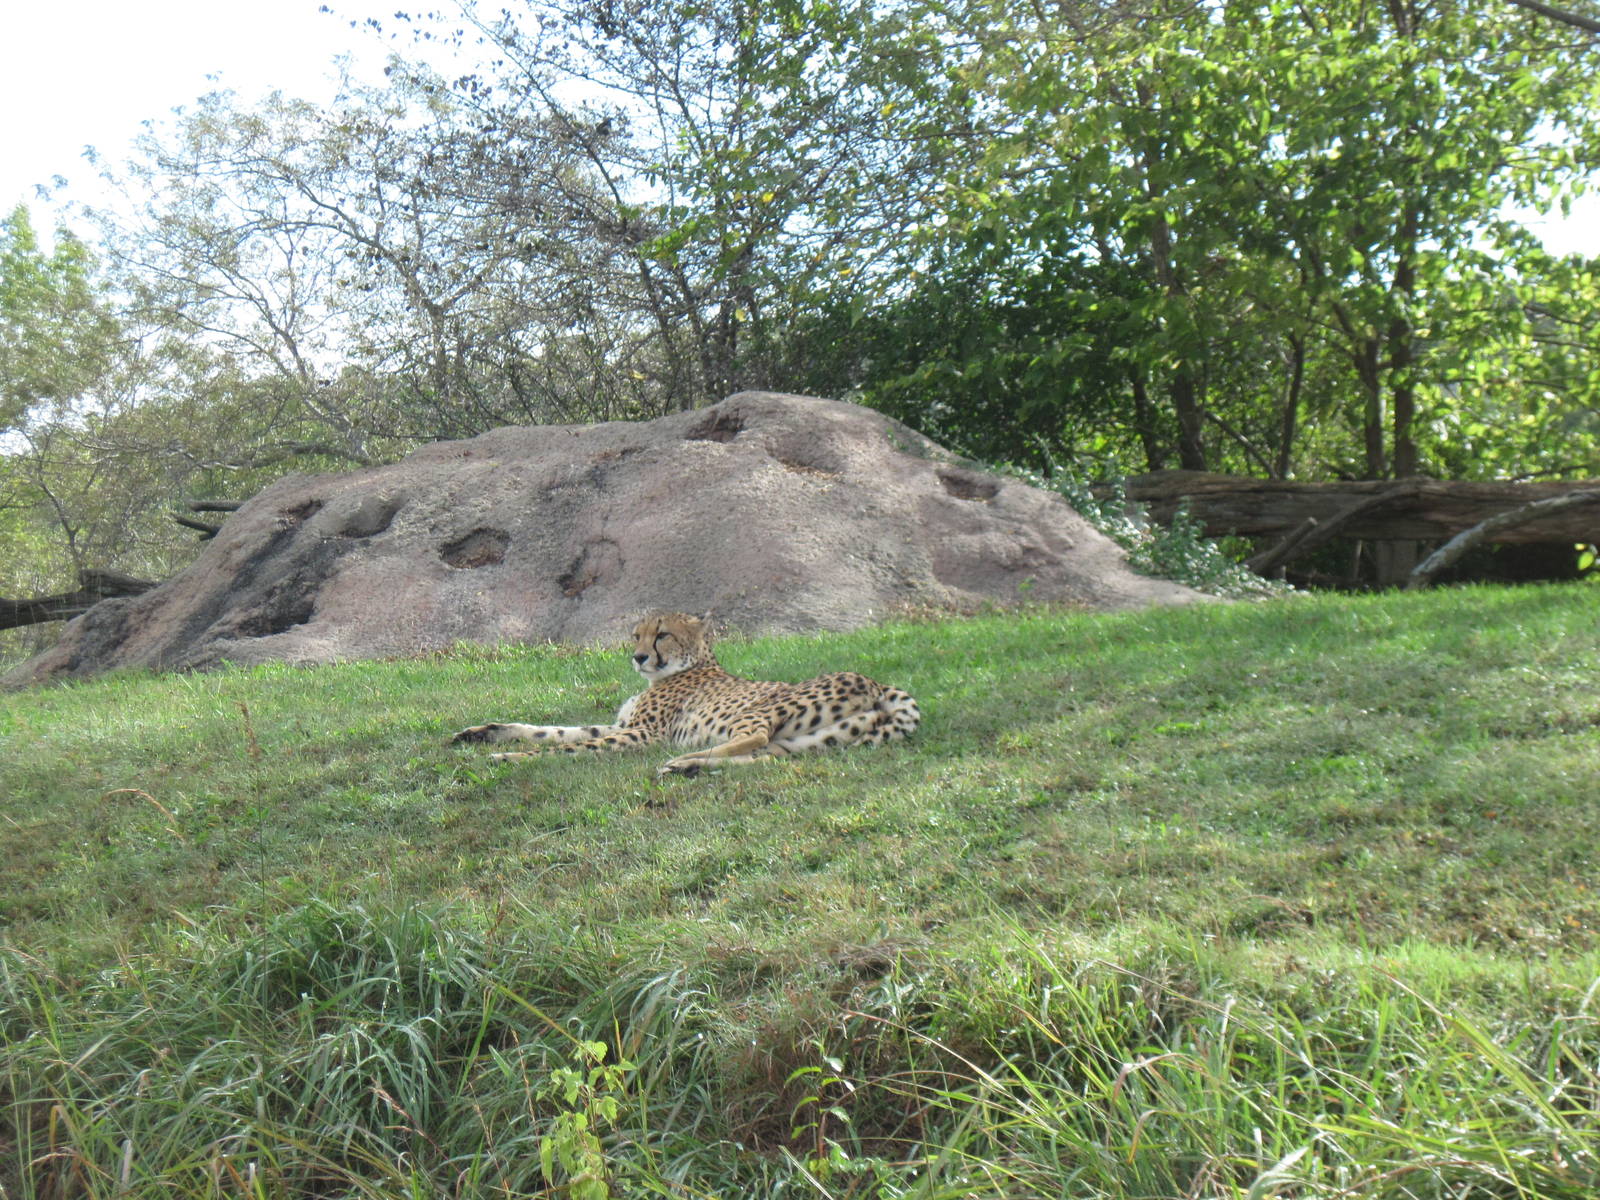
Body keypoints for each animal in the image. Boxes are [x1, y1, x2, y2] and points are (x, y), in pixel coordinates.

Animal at [451, 612, 921, 777]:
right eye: (636, 634)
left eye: (662, 635)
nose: (638, 656)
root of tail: (875, 682)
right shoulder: (621, 724)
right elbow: (556, 731)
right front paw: (483, 733)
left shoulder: (642, 734)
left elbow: (569, 746)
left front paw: (510, 758)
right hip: (808, 741)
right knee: (766, 756)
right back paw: (687, 766)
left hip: (765, 708)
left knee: (753, 737)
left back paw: (682, 759)